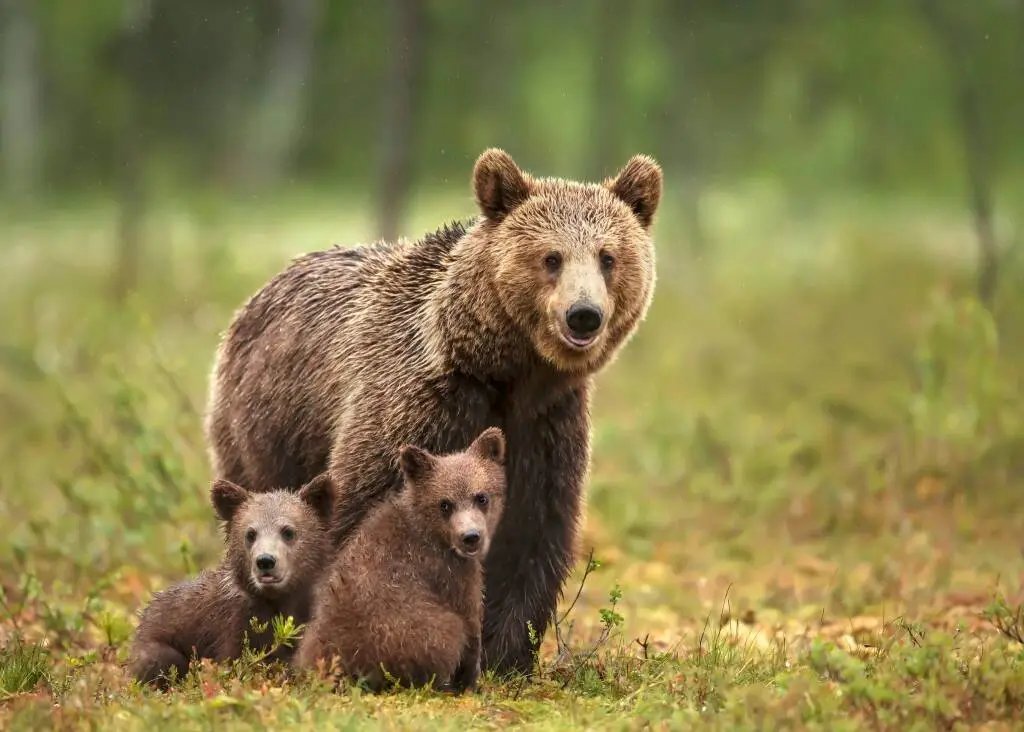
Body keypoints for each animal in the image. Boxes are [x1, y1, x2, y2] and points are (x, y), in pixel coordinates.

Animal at [205, 148, 663, 679]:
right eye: (552, 257)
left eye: (608, 257)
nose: (584, 314)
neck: (504, 372)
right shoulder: (418, 404)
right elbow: (361, 513)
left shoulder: (545, 426)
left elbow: (531, 533)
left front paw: (506, 655)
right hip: (266, 425)